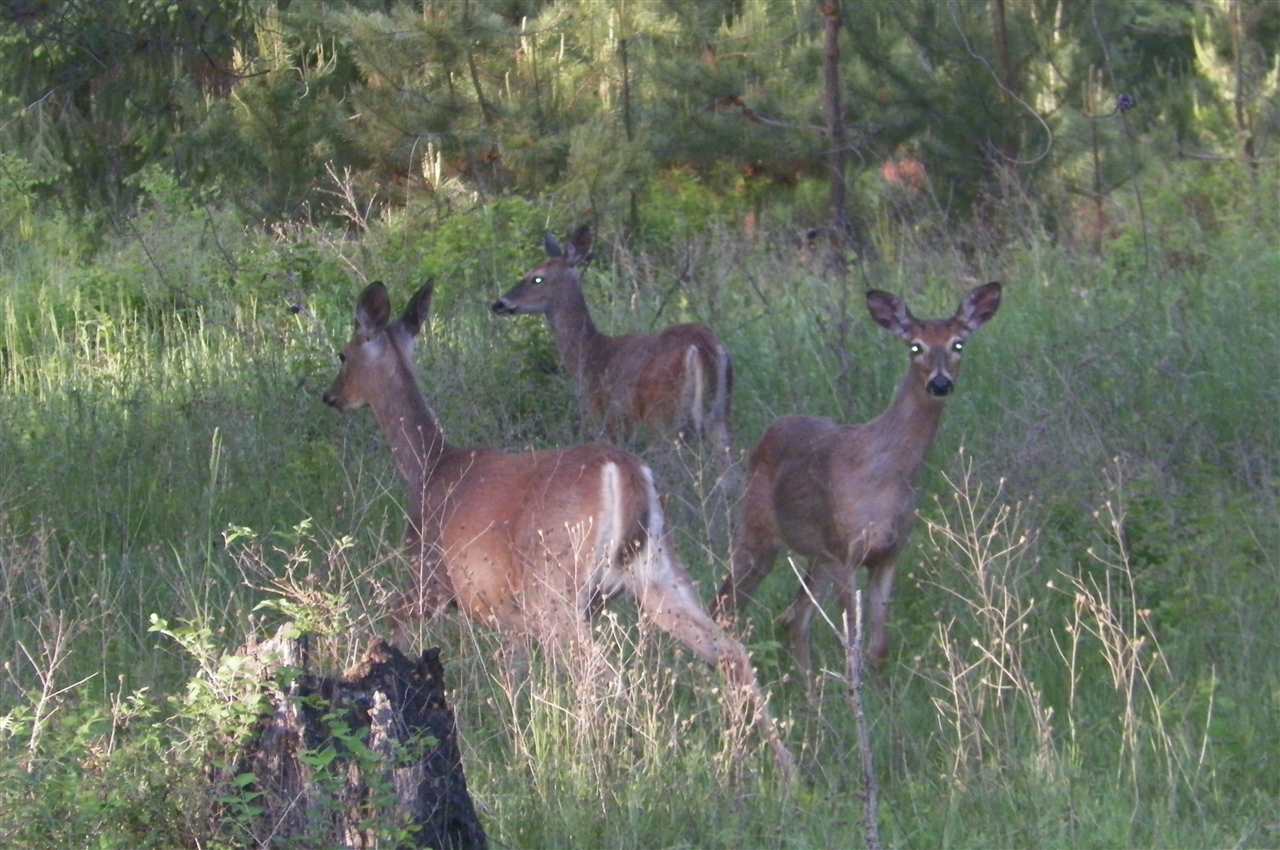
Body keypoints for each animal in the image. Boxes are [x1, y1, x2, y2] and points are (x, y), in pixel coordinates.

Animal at [323, 281, 795, 778]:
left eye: (343, 353)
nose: (331, 396)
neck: (430, 467)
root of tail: (626, 472)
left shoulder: (429, 577)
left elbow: (388, 633)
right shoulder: (505, 616)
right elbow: (512, 681)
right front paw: (516, 747)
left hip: (556, 589)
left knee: (606, 675)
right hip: (657, 569)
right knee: (730, 650)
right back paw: (781, 768)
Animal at [491, 226, 734, 468]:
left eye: (537, 278)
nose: (498, 303)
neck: (589, 355)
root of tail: (702, 346)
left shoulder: (604, 417)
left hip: (663, 416)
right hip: (719, 417)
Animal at [714, 282, 1002, 675]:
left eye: (958, 344)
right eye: (915, 346)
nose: (940, 383)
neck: (885, 477)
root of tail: (765, 437)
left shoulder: (889, 553)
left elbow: (878, 648)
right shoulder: (846, 552)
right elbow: (851, 644)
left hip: (819, 555)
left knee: (793, 618)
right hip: (759, 532)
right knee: (726, 604)